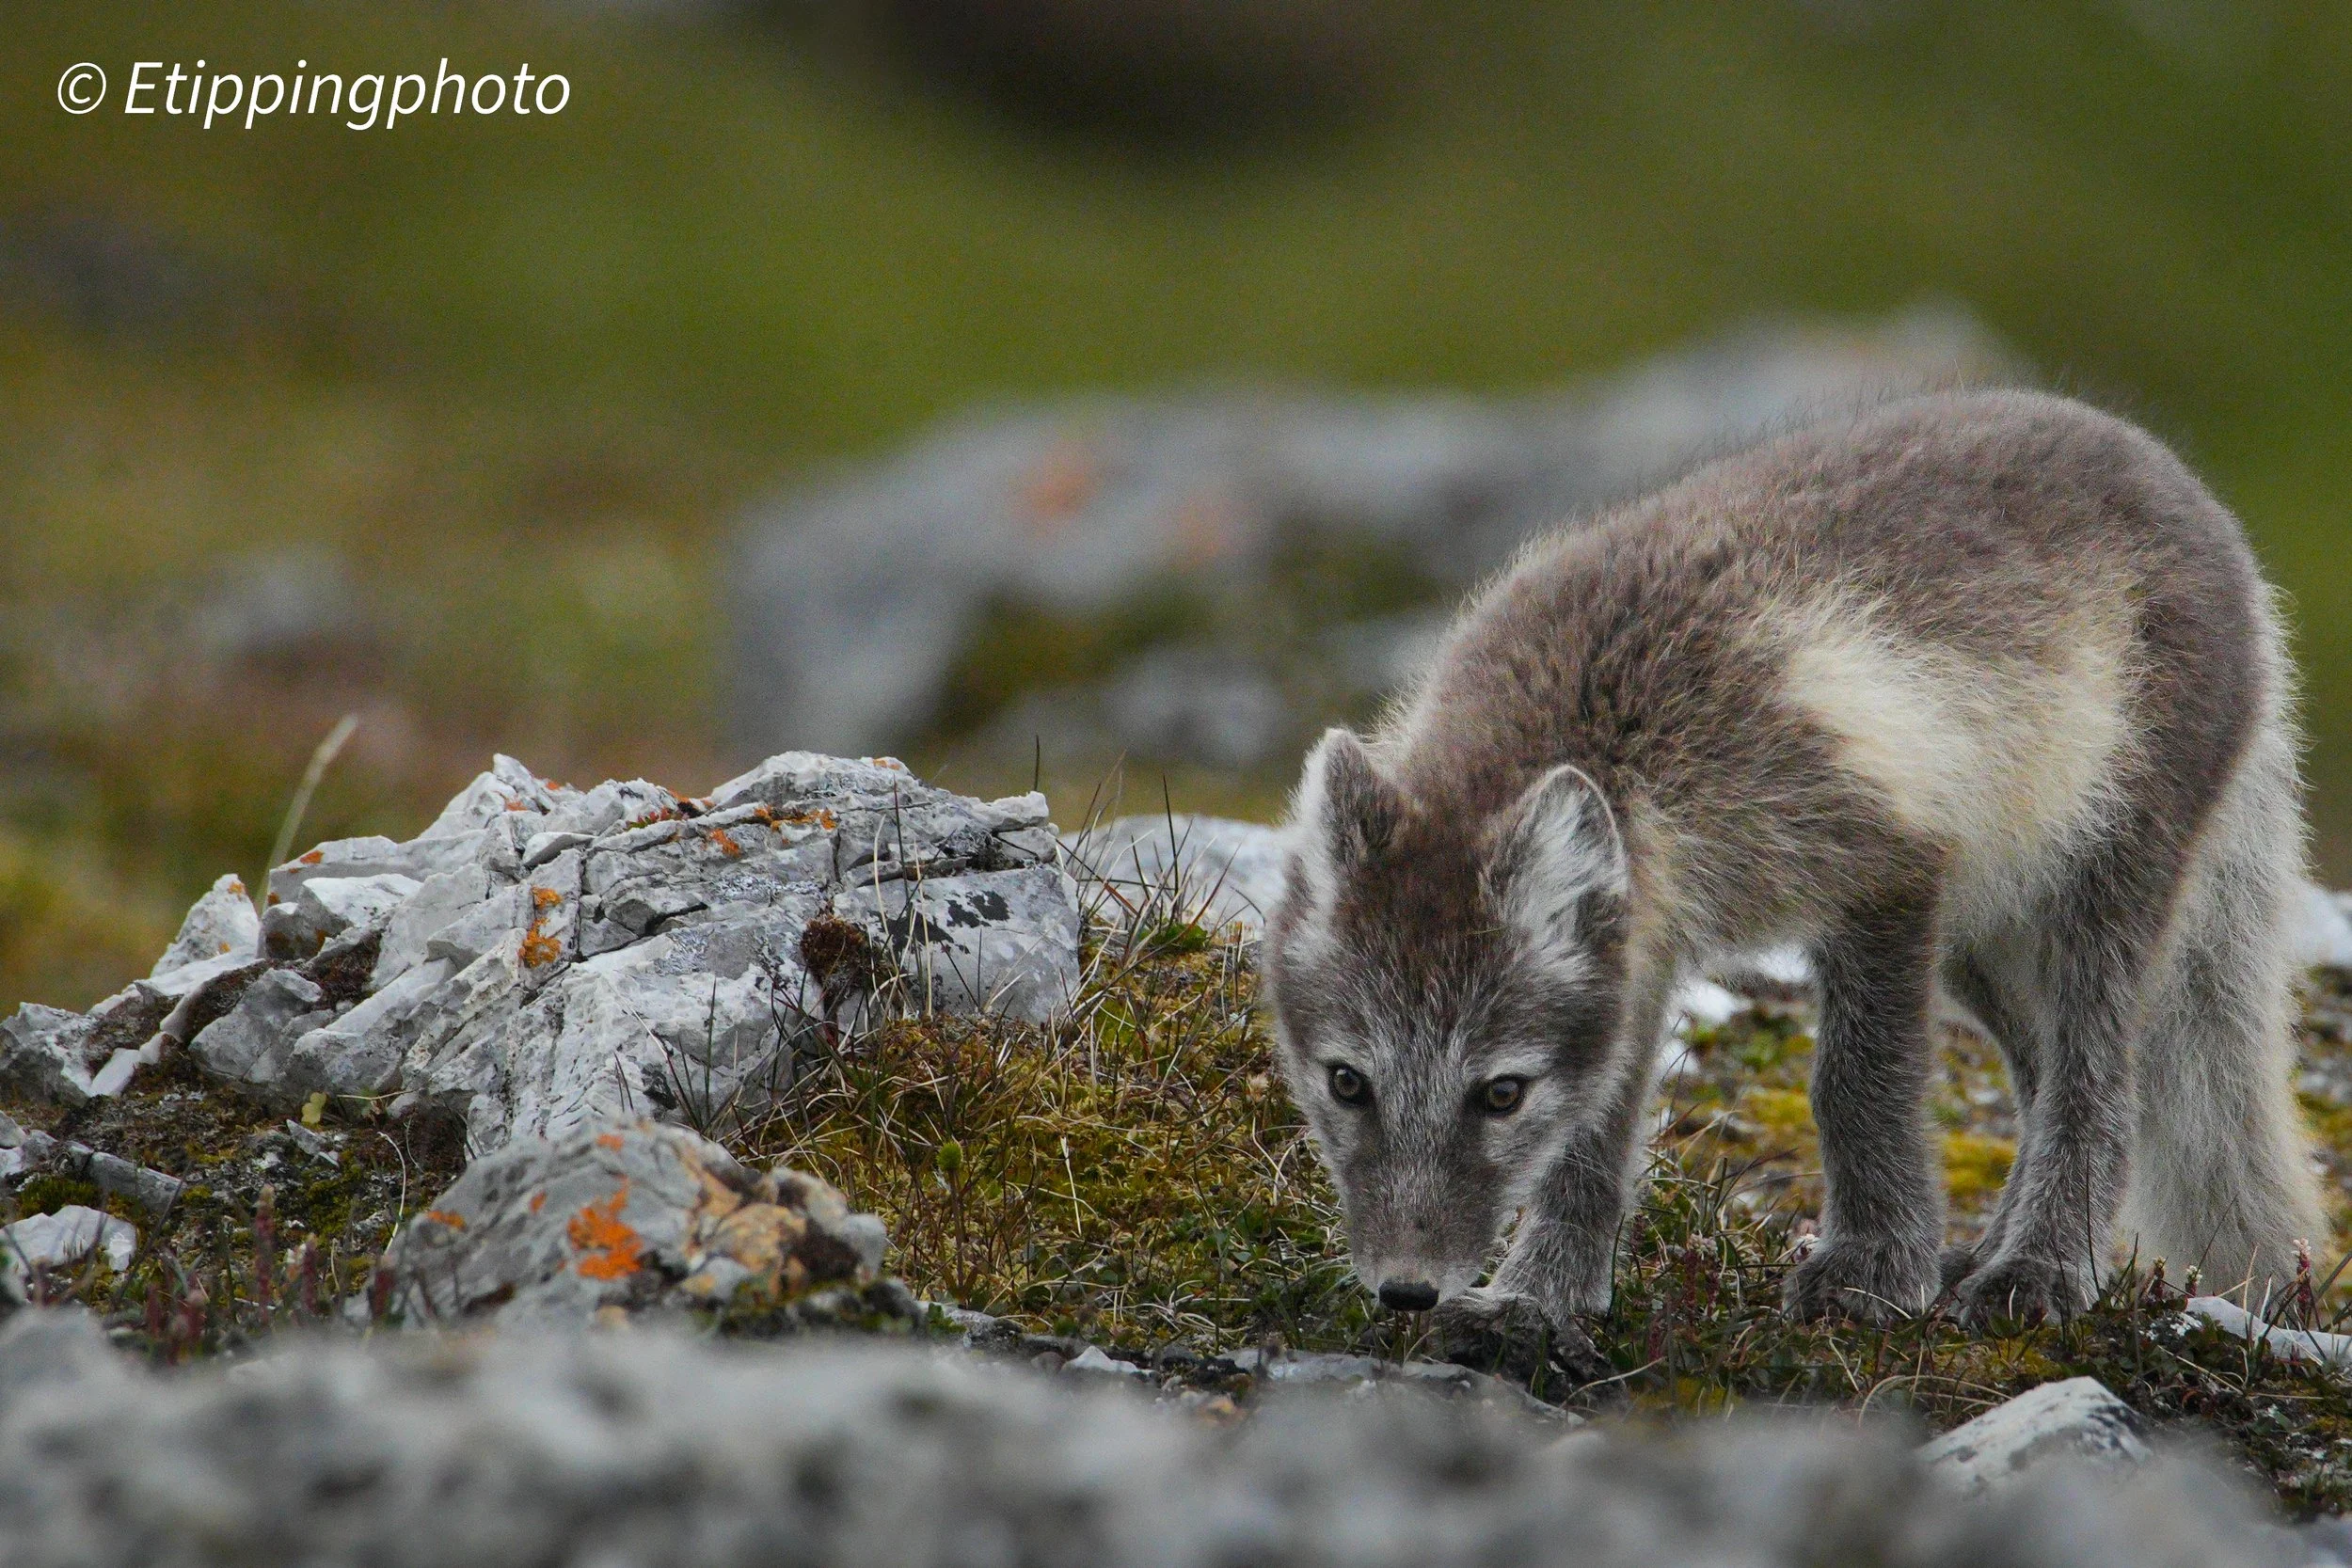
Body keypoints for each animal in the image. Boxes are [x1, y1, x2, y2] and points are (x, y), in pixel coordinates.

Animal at [1262, 389, 2324, 1336]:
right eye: (1347, 1081)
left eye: (1500, 1093)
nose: (1406, 1290)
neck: (1626, 740)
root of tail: (2188, 488)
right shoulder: (1644, 948)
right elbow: (1594, 1138)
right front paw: (1541, 1296)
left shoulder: (1885, 869)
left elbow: (1856, 1084)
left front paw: (1871, 1271)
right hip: (1979, 933)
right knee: (2044, 1074)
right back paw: (1985, 1254)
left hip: (2108, 878)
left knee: (2098, 1083)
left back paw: (2040, 1269)